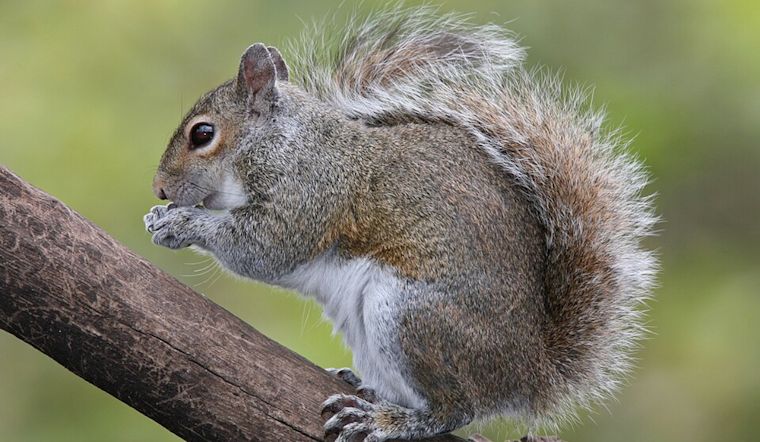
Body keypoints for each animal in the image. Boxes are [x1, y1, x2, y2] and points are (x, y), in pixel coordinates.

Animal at [144, 7, 657, 442]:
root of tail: (531, 373)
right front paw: (159, 218)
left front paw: (183, 224)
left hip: (410, 316)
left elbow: (263, 248)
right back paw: (363, 385)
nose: (159, 190)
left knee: (456, 408)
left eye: (202, 134)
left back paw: (387, 420)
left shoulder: (309, 193)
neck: (283, 141)